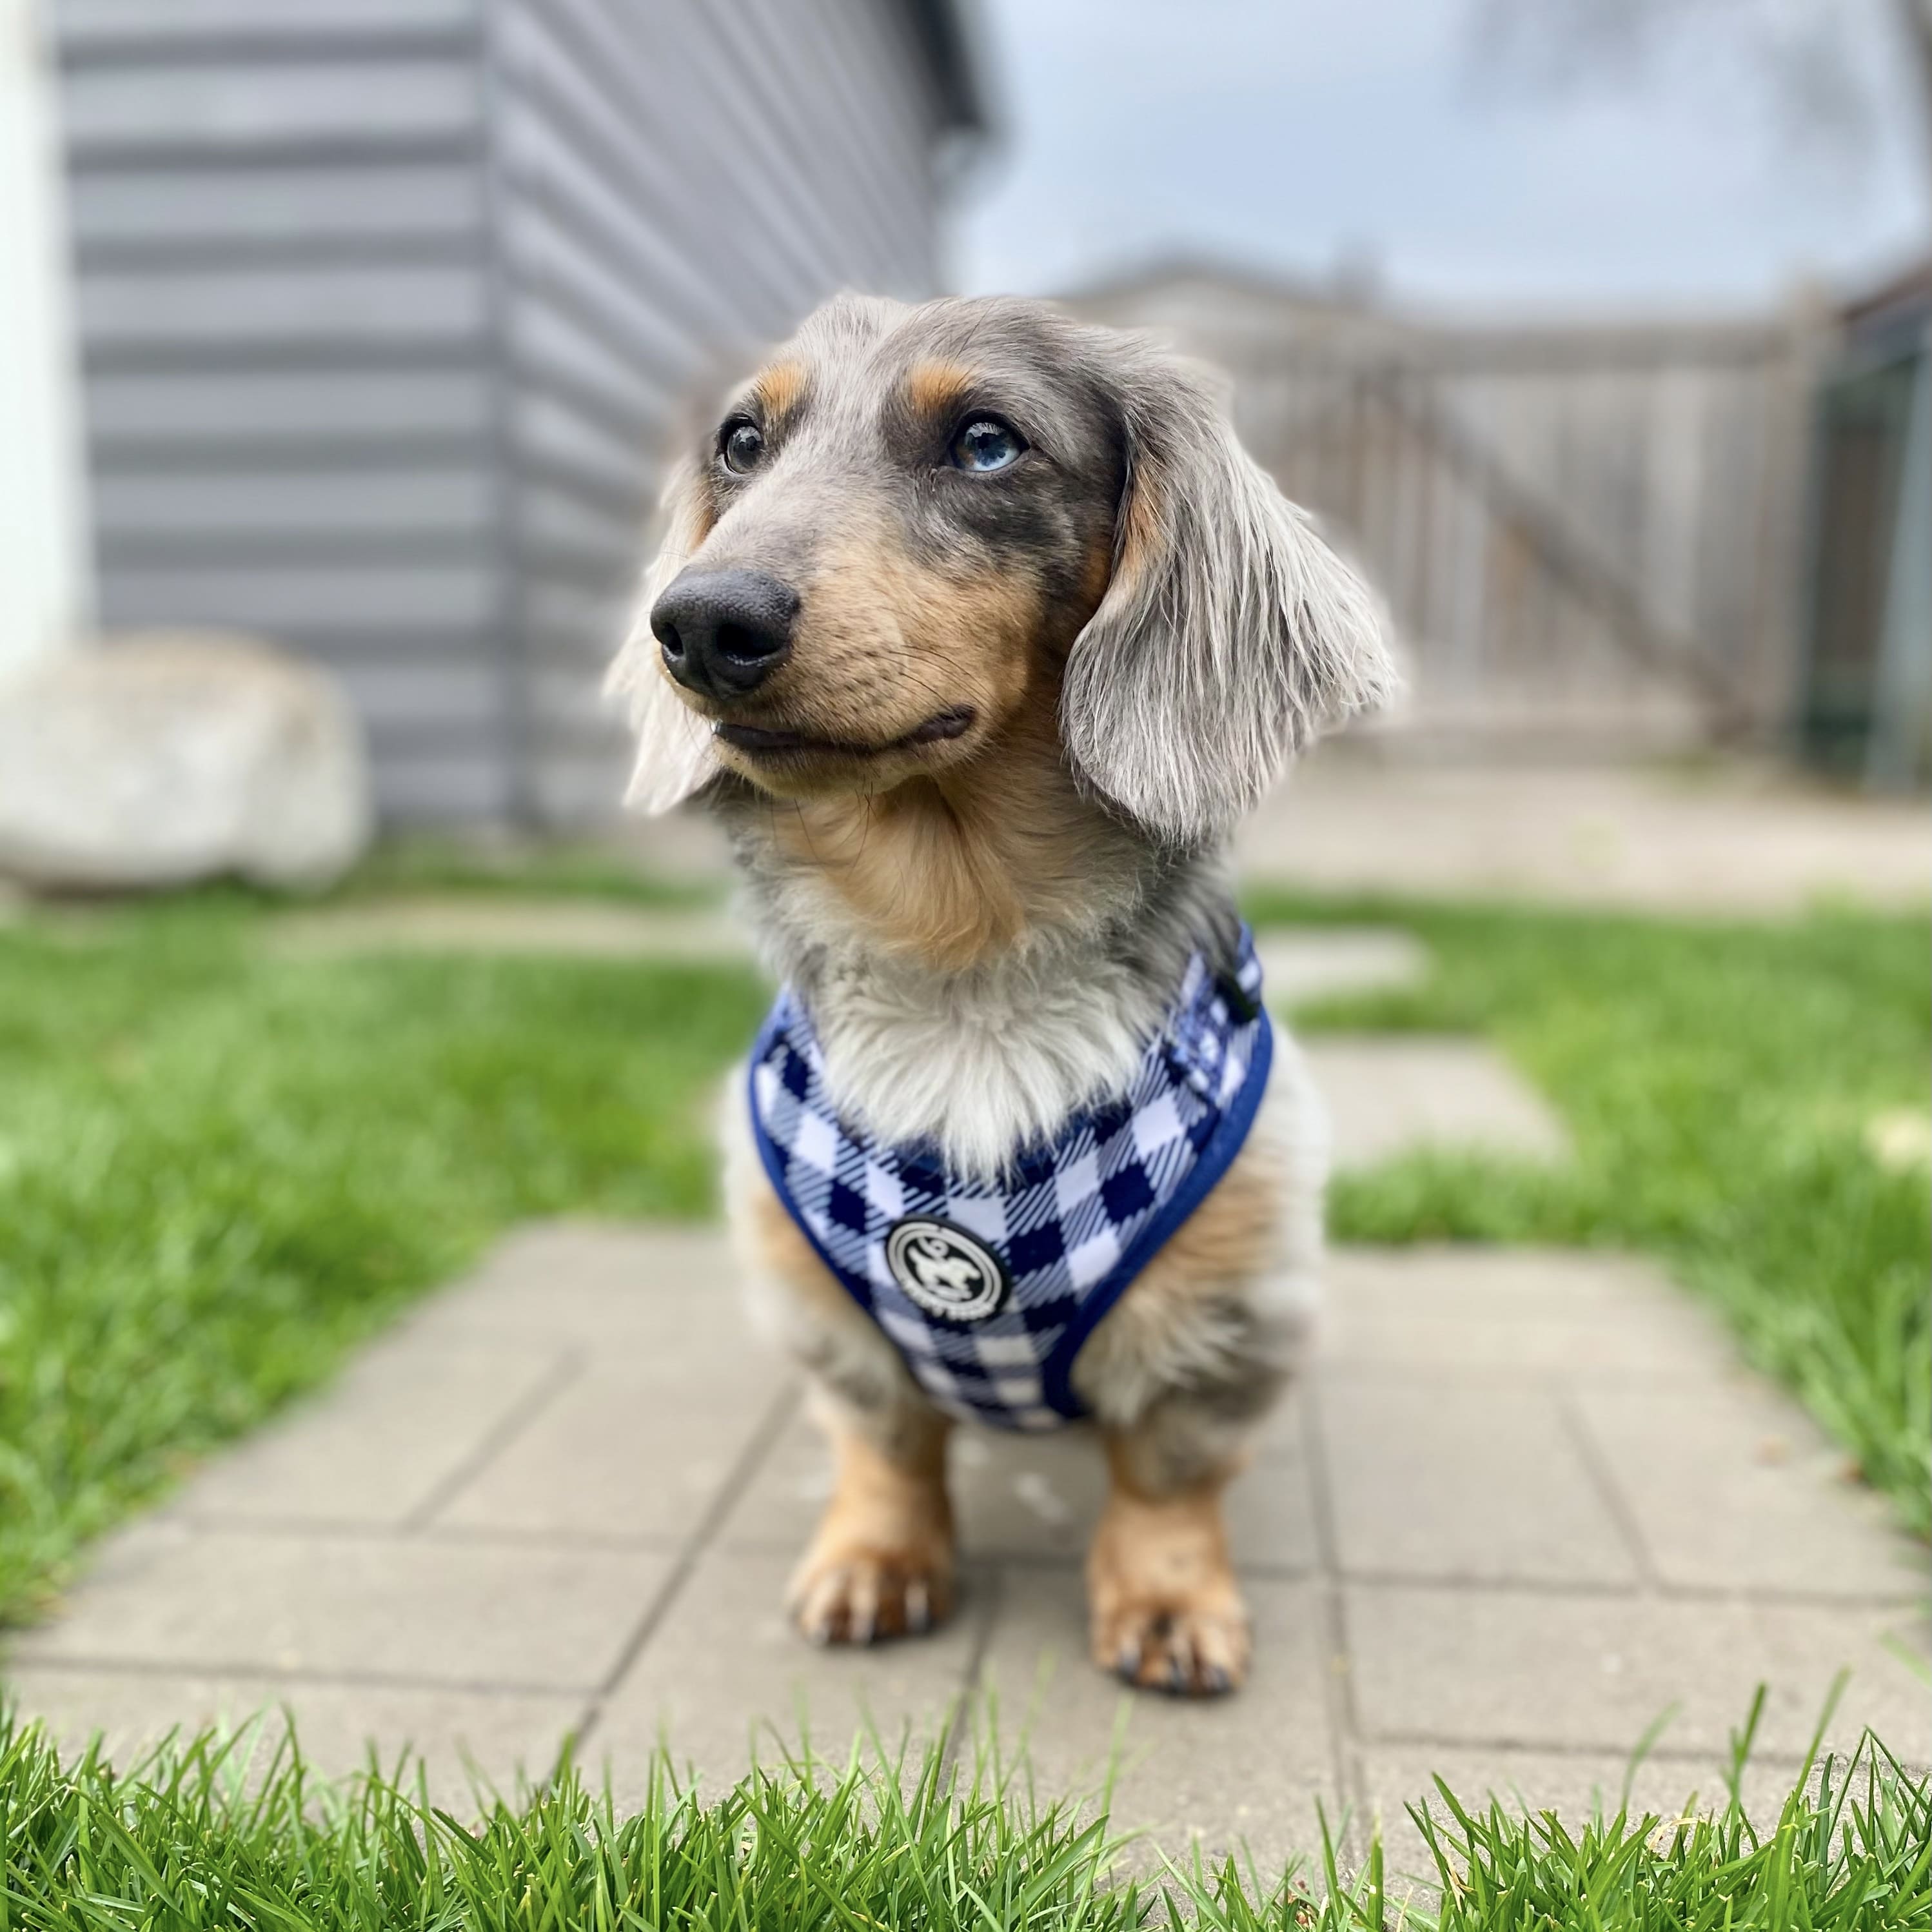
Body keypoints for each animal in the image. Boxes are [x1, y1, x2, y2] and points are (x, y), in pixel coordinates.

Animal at [602, 293, 1391, 1700]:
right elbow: (884, 1446)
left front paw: (1169, 1601)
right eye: (742, 442)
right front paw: (875, 1560)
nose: (697, 623)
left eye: (984, 442)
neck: (965, 966)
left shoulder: (1229, 1313)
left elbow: (1167, 1475)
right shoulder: (828, 1322)